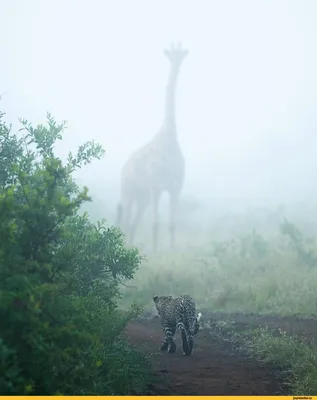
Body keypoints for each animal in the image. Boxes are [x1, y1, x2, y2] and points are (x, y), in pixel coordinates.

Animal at [115, 41, 186, 250]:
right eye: (170, 54)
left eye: (182, 55)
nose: (176, 65)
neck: (169, 137)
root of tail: (123, 169)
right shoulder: (156, 185)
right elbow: (155, 223)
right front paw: (155, 252)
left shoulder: (176, 186)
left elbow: (172, 223)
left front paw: (171, 251)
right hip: (128, 191)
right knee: (124, 221)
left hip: (142, 197)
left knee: (132, 224)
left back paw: (130, 248)